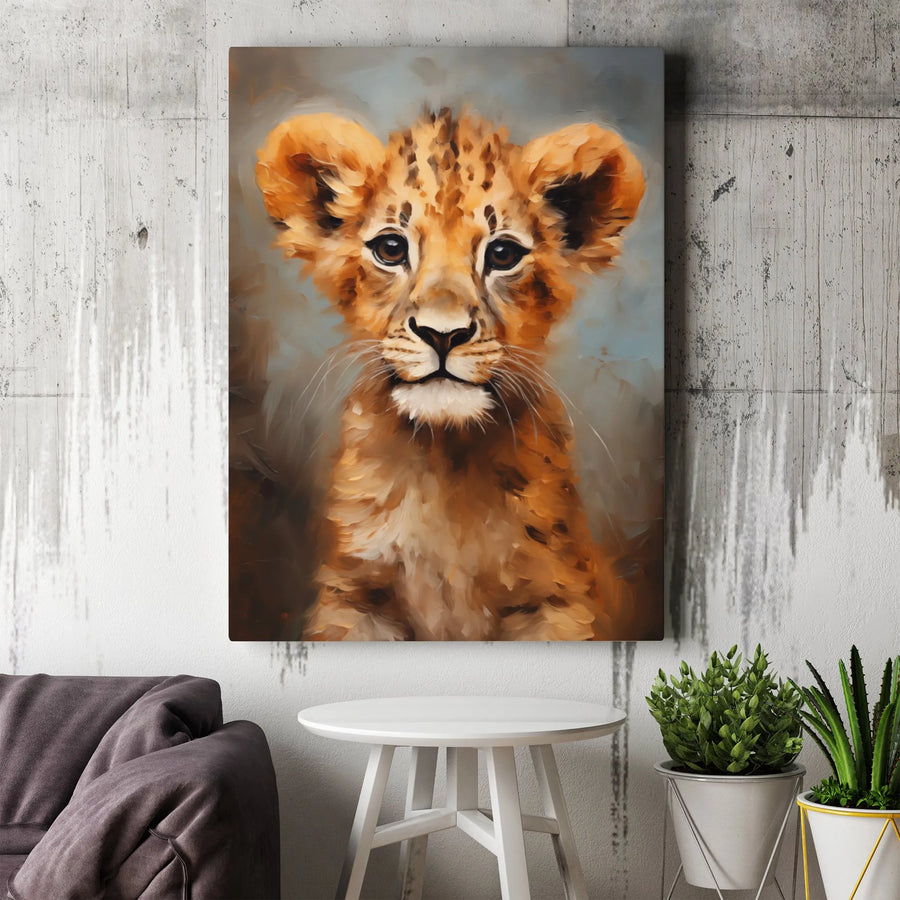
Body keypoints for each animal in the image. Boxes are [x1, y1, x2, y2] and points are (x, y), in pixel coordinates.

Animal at [253, 107, 645, 640]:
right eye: (391, 249)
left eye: (502, 255)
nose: (443, 333)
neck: (444, 462)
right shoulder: (355, 595)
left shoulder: (558, 600)